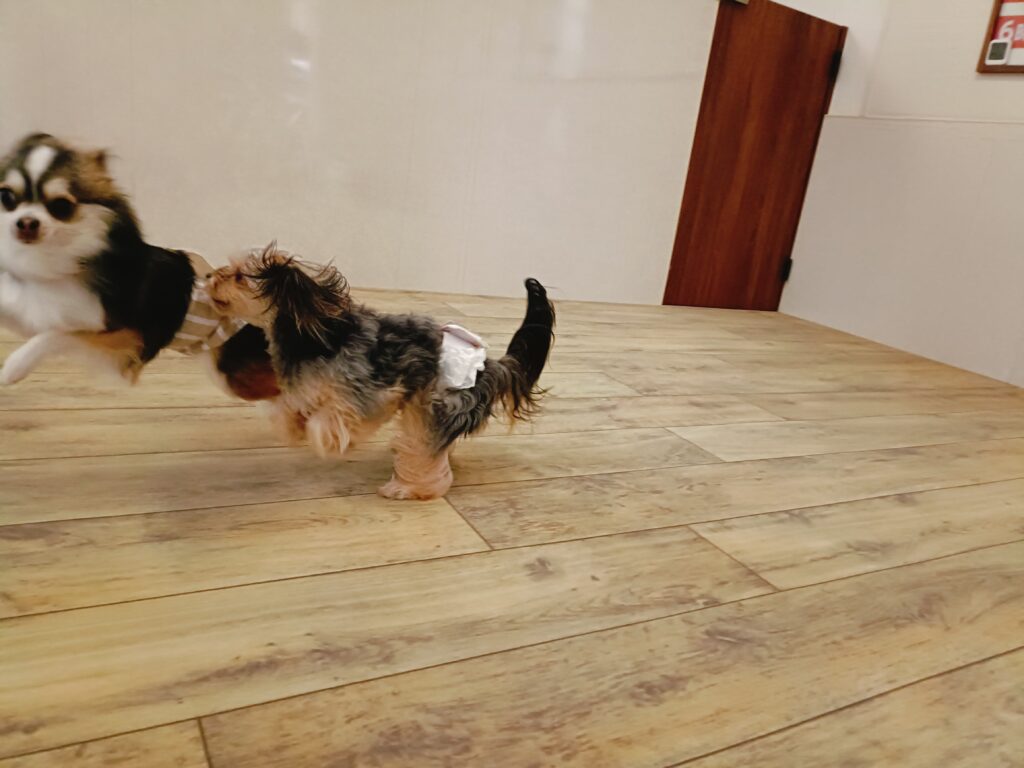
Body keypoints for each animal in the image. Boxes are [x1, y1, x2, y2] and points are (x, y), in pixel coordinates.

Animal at [0, 132, 277, 398]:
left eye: (61, 206)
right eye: (6, 197)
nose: (26, 223)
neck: (56, 263)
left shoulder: (125, 338)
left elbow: (56, 335)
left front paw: (14, 366)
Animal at [207, 244, 556, 499]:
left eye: (239, 277)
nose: (210, 276)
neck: (313, 336)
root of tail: (489, 366)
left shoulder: (370, 396)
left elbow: (329, 423)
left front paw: (330, 441)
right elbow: (289, 411)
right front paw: (294, 427)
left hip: (434, 405)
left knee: (426, 448)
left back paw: (410, 488)